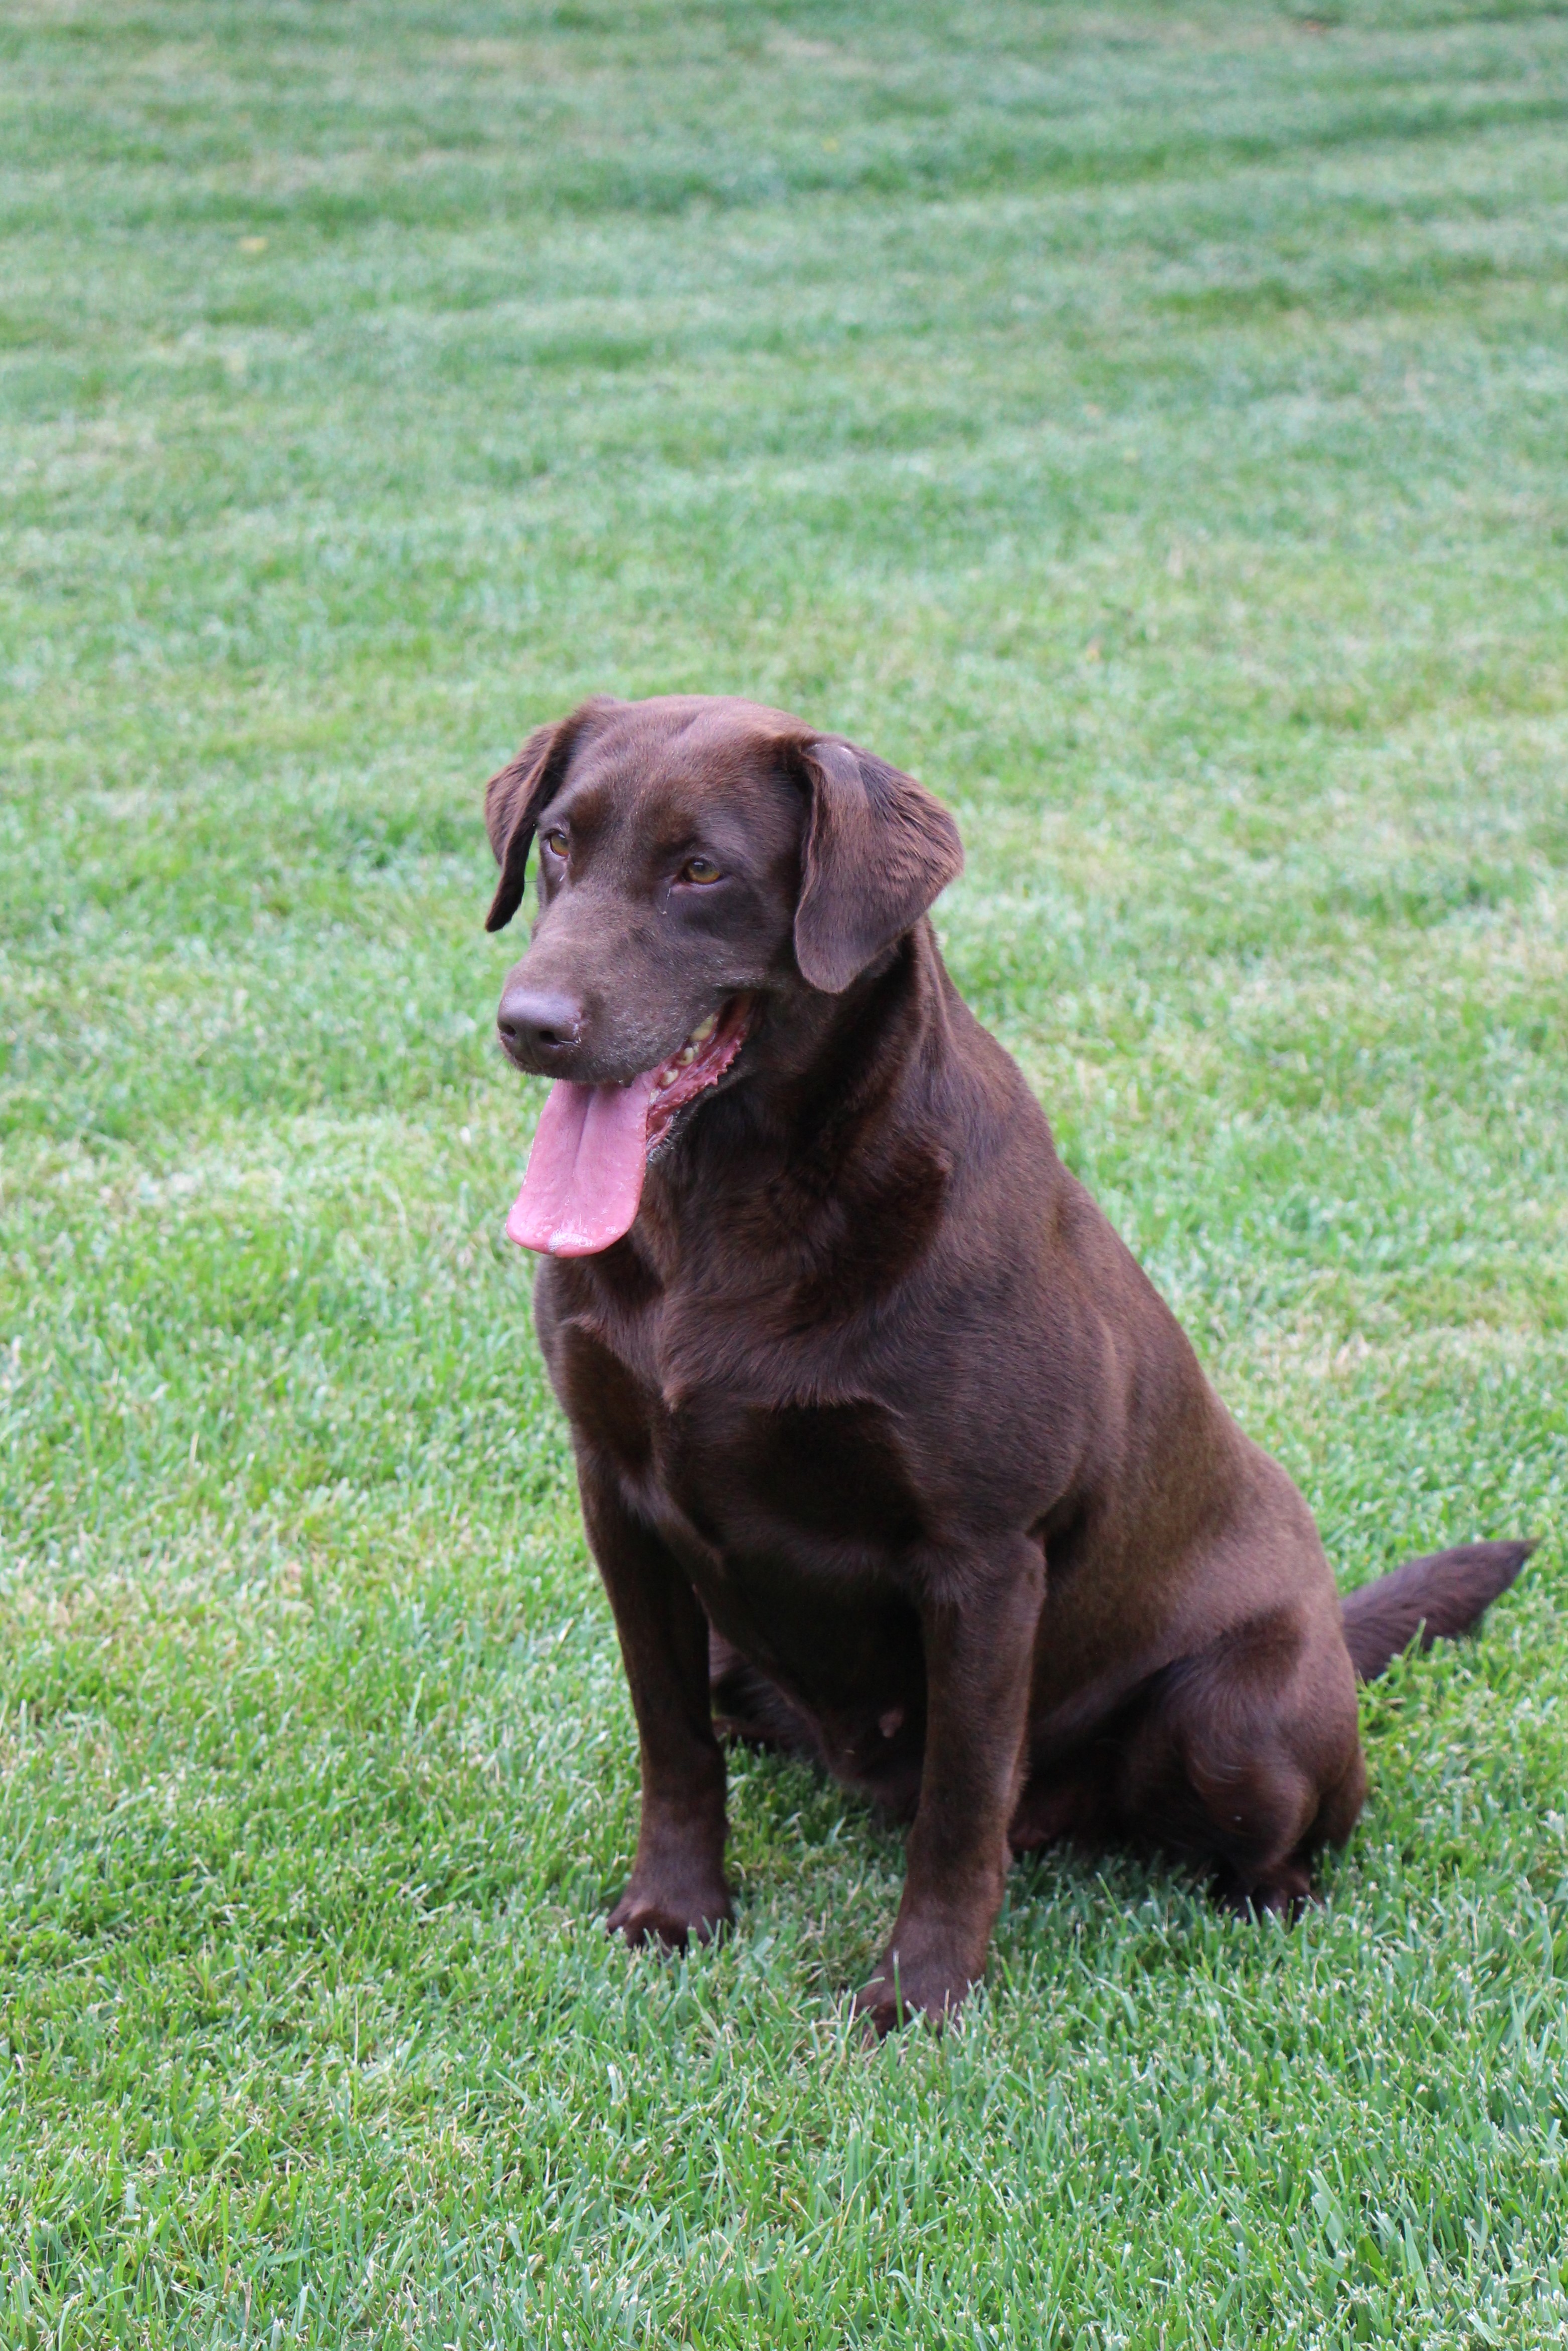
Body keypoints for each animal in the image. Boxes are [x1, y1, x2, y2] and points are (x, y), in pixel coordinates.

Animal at [482, 686, 1532, 2031]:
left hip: (1236, 1715)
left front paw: (922, 1993)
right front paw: (674, 1910)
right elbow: (670, 1738)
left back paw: (1263, 1903)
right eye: (560, 843)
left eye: (701, 869)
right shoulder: (617, 1498)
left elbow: (962, 1800)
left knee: (1279, 1831)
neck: (724, 1208)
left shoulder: (982, 1558)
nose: (528, 1025)